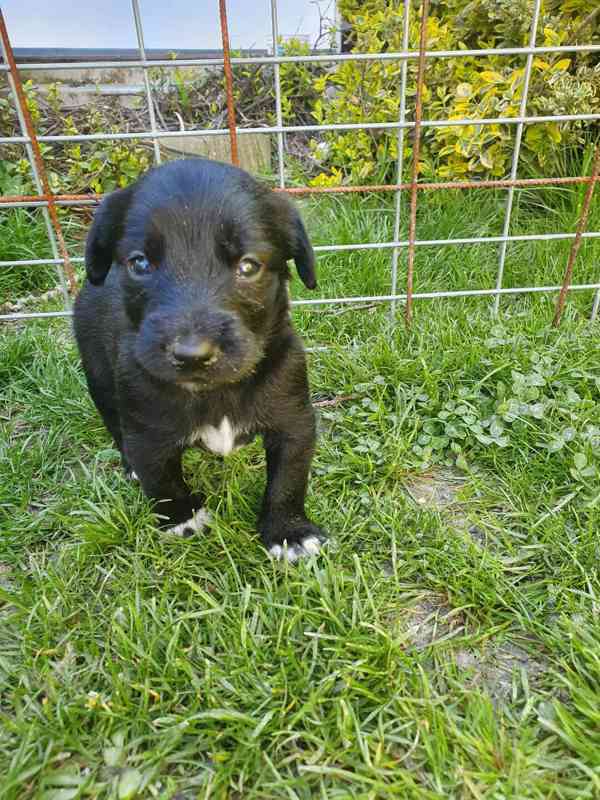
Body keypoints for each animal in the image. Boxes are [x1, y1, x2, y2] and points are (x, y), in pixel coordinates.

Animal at [76, 158, 328, 564]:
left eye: (248, 266)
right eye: (140, 263)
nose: (191, 354)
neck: (216, 392)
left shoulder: (294, 420)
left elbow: (288, 479)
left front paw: (289, 532)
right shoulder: (146, 433)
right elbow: (162, 481)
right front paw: (182, 519)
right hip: (98, 376)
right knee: (115, 425)